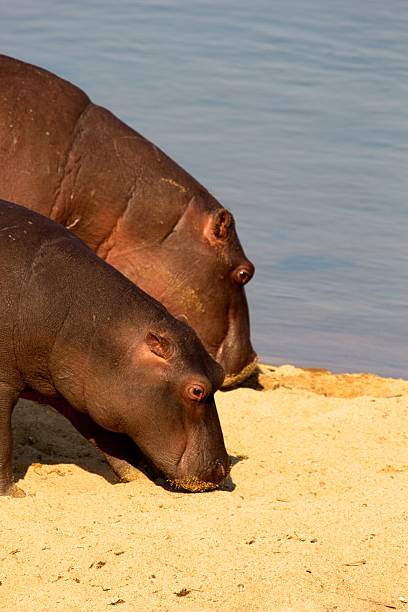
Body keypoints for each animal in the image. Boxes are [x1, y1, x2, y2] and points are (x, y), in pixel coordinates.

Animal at [0, 201, 230, 498]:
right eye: (197, 391)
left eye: (220, 371)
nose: (222, 468)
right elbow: (3, 443)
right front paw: (13, 493)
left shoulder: (81, 392)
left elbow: (110, 441)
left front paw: (139, 480)